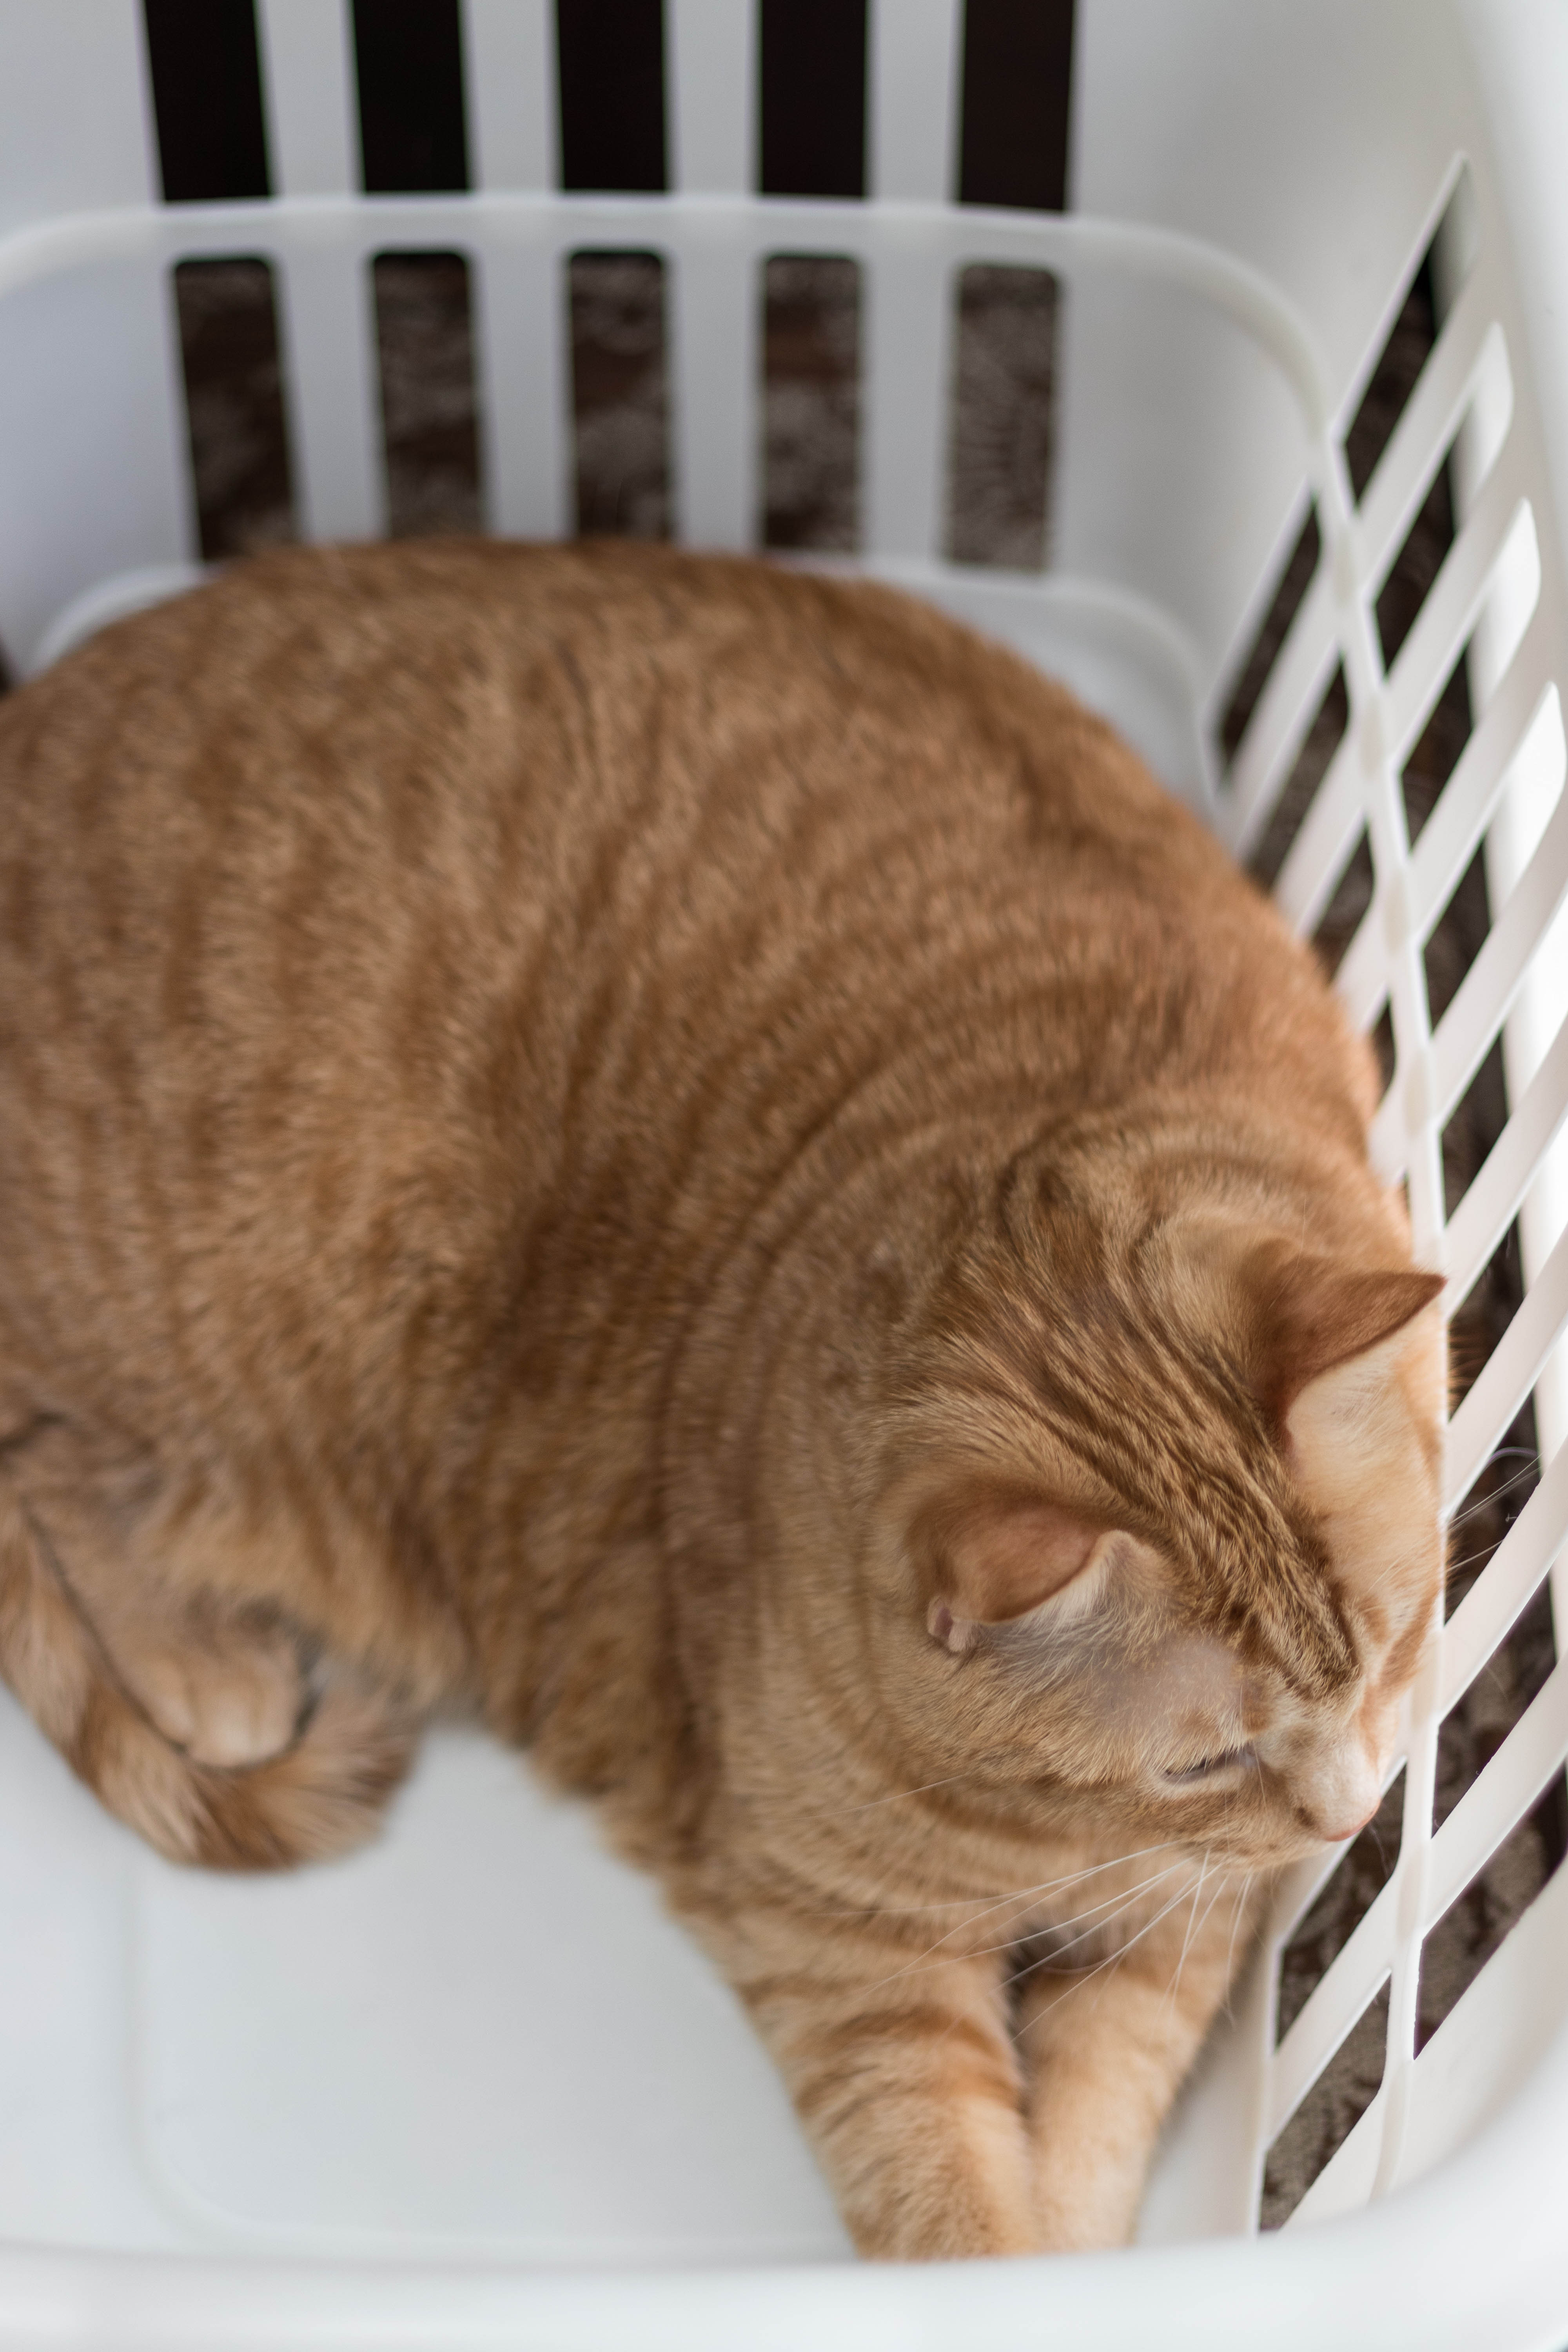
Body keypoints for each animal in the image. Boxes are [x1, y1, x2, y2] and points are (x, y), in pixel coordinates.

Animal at [0, 541, 1448, 2249]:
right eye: (1204, 1760)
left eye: (1393, 1652)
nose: (1351, 1822)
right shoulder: (847, 1950)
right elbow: (945, 2190)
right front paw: (1009, 2258)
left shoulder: (1185, 1918)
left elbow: (1103, 2095)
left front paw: (1085, 2252)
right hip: (231, 1349)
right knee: (61, 1468)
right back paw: (202, 1662)